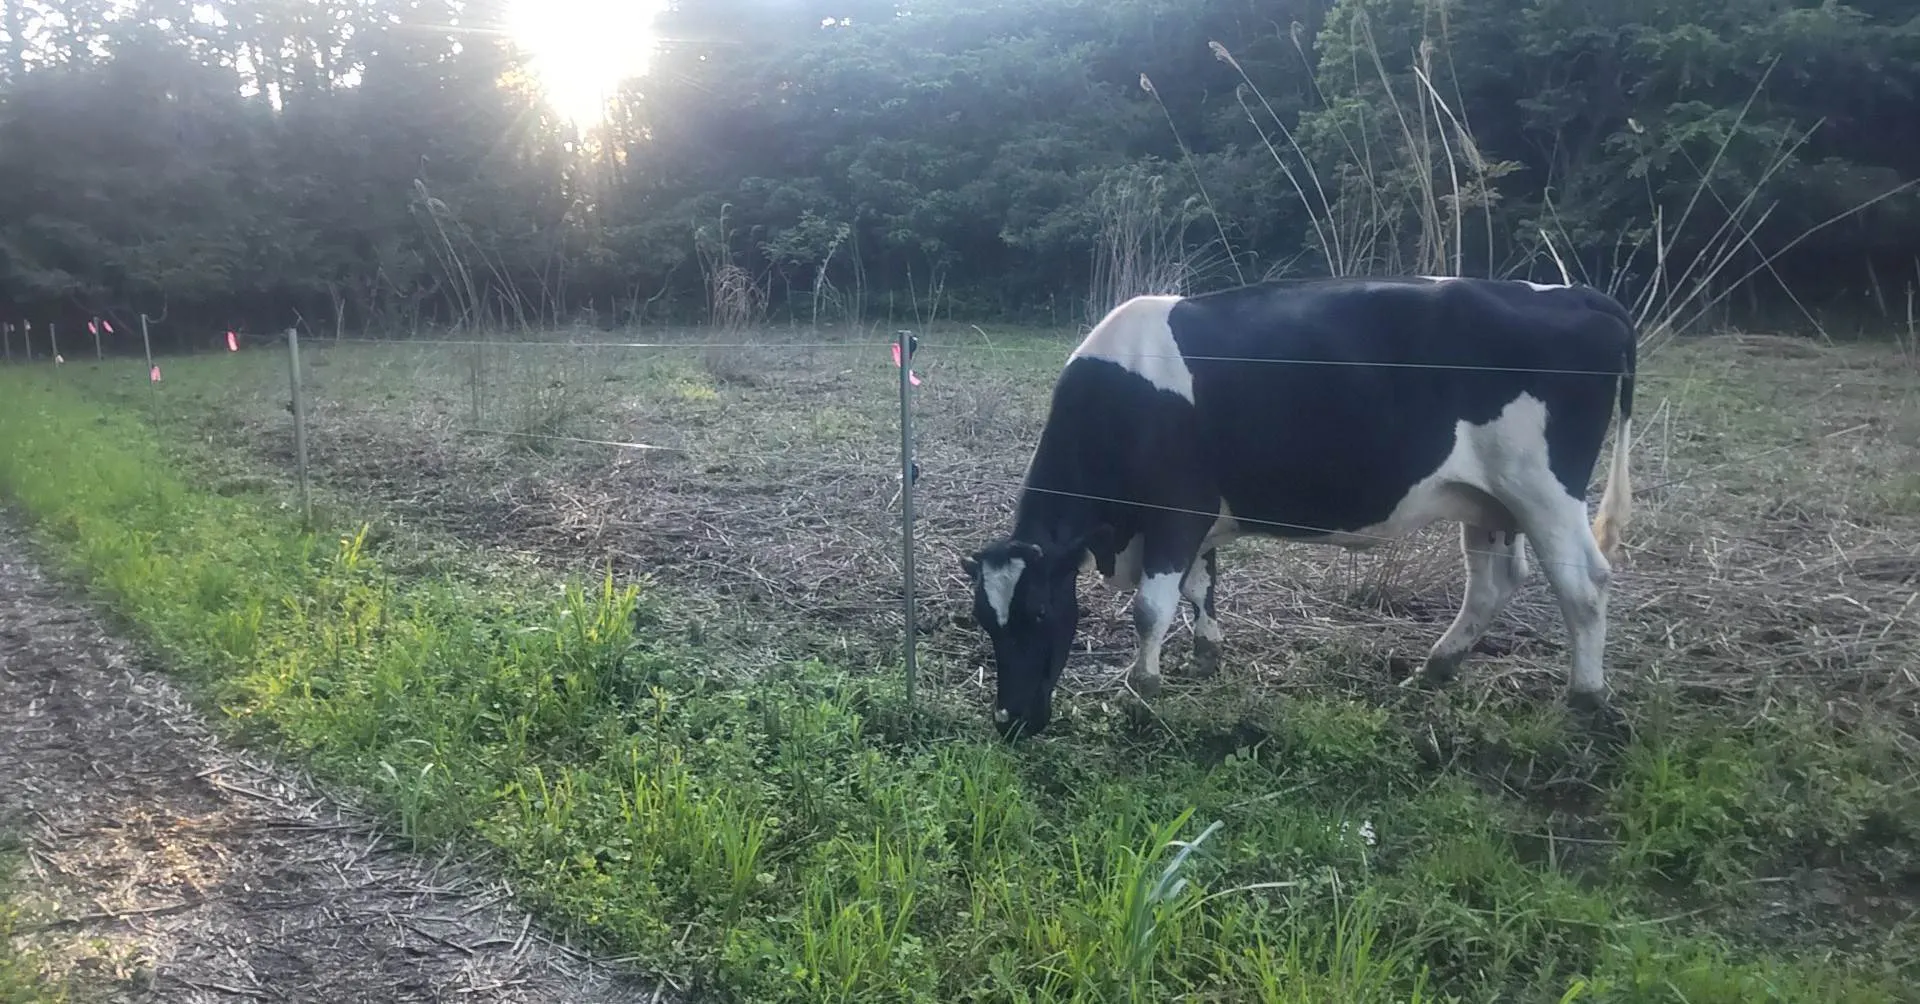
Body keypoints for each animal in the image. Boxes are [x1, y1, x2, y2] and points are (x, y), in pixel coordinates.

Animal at [959, 275, 1636, 740]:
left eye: (1039, 612)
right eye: (985, 621)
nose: (1010, 720)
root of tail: (1579, 295)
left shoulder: (1176, 512)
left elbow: (1151, 608)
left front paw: (1140, 686)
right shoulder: (1195, 522)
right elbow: (1201, 586)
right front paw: (1206, 656)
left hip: (1543, 488)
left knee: (1584, 583)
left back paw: (1585, 696)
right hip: (1491, 501)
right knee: (1494, 582)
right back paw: (1436, 668)